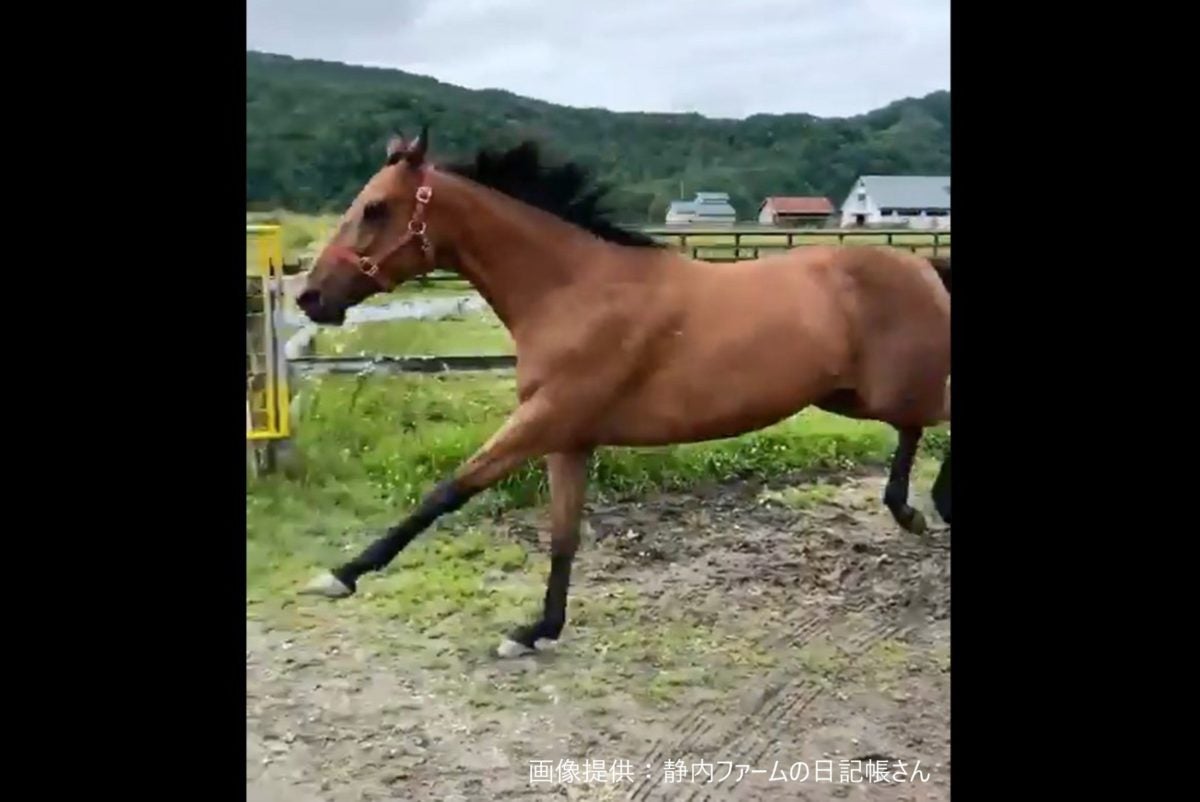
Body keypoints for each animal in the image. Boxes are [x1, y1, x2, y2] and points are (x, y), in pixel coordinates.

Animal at [295, 126, 951, 658]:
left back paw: (929, 508)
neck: (574, 290)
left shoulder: (545, 418)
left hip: (885, 390)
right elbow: (563, 535)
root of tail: (923, 267)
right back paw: (910, 510)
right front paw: (537, 631)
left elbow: (448, 490)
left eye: (375, 208)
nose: (309, 297)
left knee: (930, 420)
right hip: (850, 396)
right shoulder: (568, 438)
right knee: (915, 427)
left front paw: (341, 575)